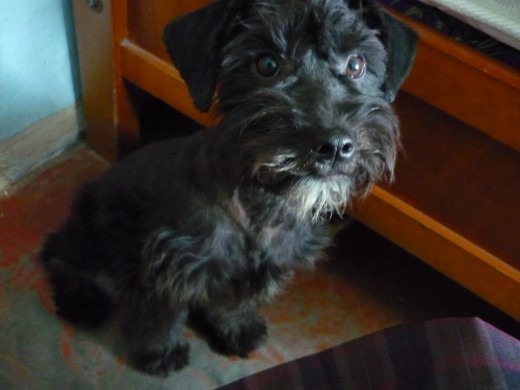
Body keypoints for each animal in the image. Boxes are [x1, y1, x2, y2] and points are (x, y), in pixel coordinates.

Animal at [40, 0, 416, 378]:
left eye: (356, 64)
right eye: (267, 64)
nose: (335, 145)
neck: (260, 205)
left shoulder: (253, 271)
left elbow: (233, 302)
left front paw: (234, 330)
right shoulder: (164, 265)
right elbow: (159, 315)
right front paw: (159, 351)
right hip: (94, 229)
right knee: (60, 254)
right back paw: (81, 299)